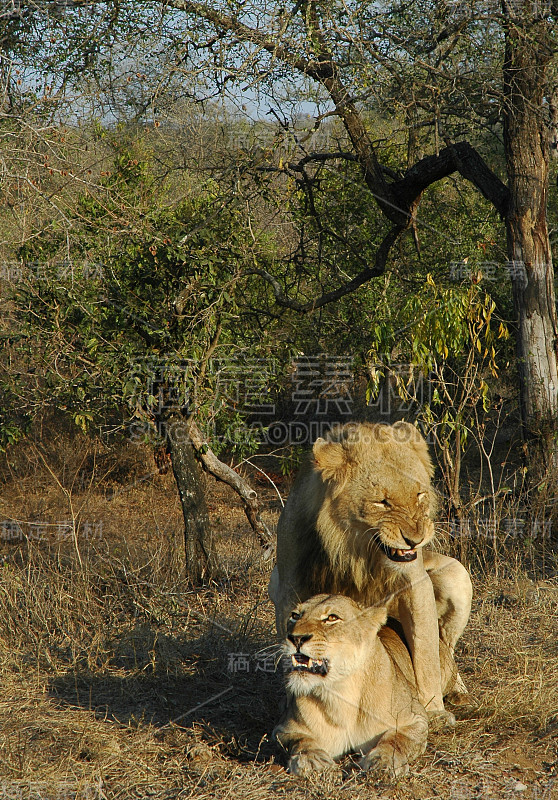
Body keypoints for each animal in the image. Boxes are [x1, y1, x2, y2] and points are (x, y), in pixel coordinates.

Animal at [270, 422, 474, 720]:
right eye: (382, 502)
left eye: (419, 495)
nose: (416, 539)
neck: (356, 552)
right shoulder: (288, 588)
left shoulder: (416, 583)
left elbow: (426, 655)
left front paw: (434, 710)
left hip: (457, 576)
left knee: (446, 647)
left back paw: (459, 692)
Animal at [274, 592, 462, 776]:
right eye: (295, 615)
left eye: (332, 618)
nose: (295, 638)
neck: (342, 689)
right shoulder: (284, 728)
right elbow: (301, 740)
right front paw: (311, 760)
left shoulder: (415, 719)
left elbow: (396, 739)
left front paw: (384, 761)